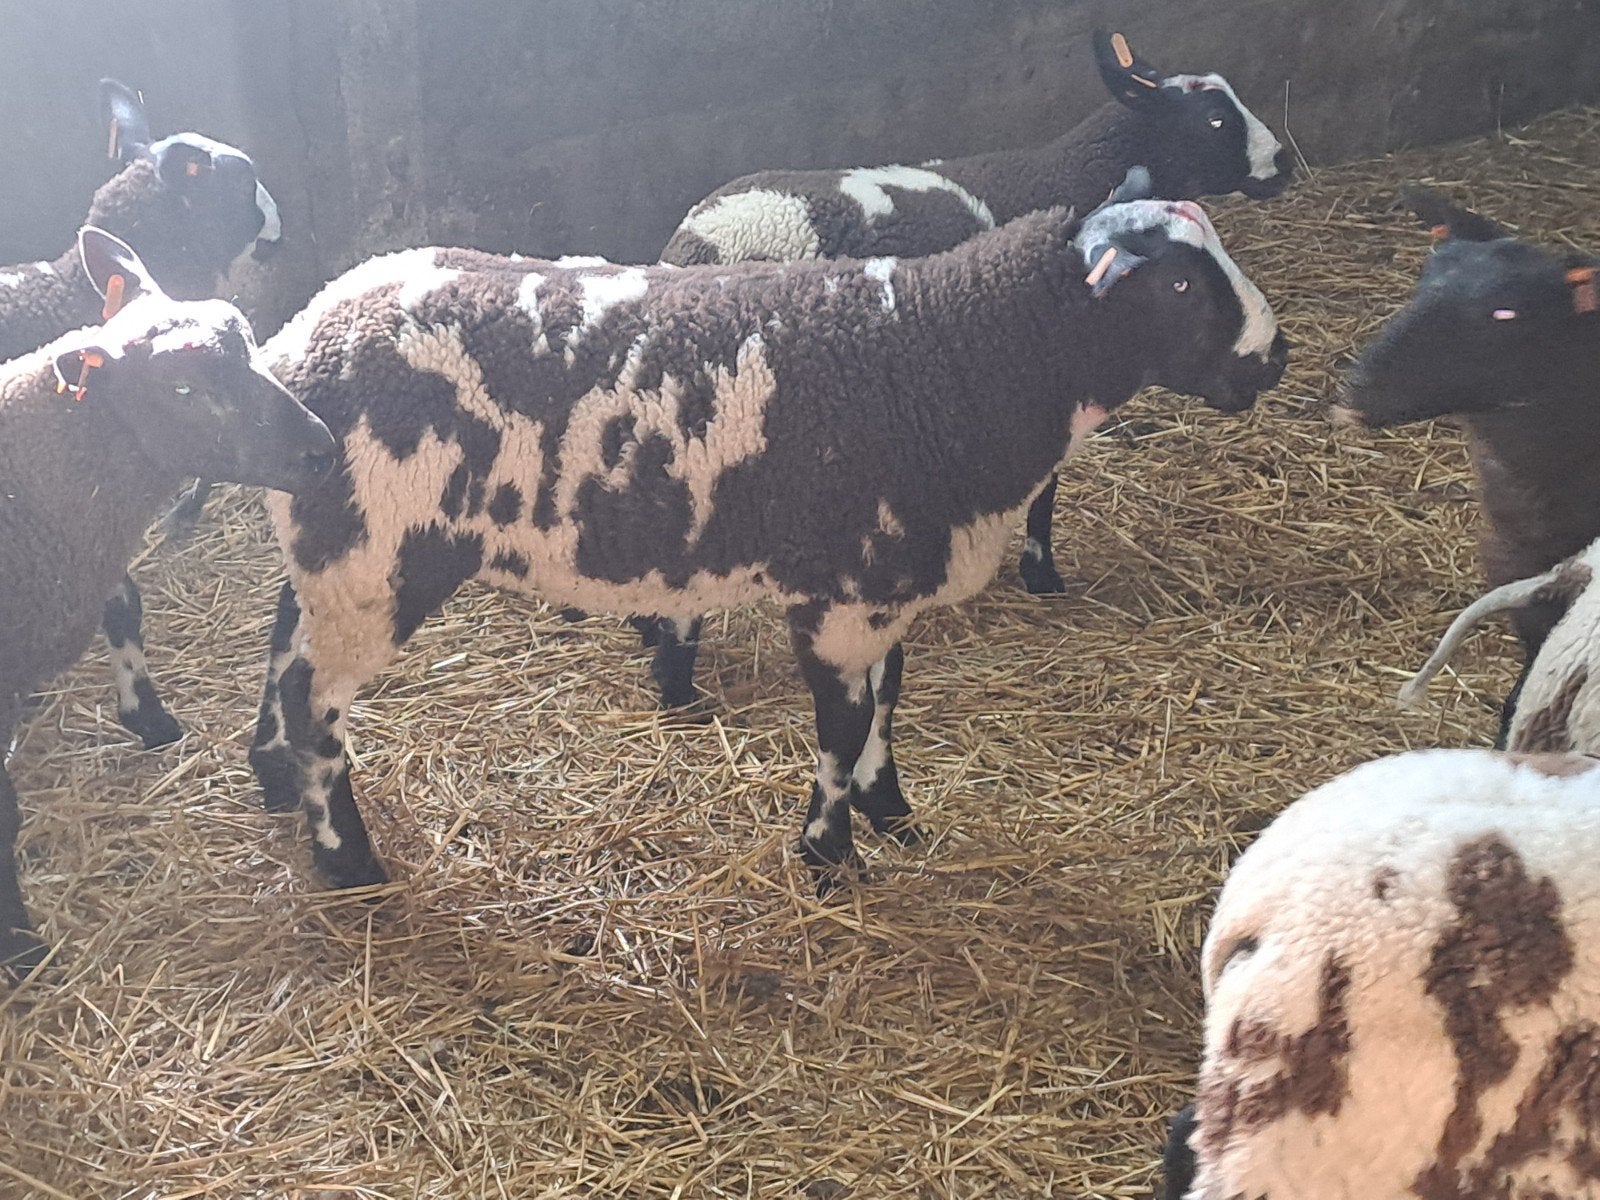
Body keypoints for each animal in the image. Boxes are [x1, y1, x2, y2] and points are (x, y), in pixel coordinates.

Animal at [0, 228, 334, 975]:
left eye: (249, 336)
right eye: (182, 388)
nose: (322, 449)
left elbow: (124, 602)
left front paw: (149, 717)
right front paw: (19, 946)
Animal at [244, 177, 1287, 894]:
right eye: (1181, 284)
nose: (1274, 358)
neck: (956, 355)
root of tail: (299, 339)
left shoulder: (883, 581)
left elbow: (889, 702)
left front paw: (890, 810)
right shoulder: (841, 592)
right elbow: (843, 723)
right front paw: (830, 855)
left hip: (331, 551)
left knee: (281, 650)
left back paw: (273, 781)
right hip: (376, 559)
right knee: (315, 702)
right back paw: (346, 858)